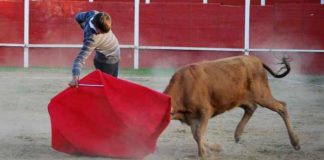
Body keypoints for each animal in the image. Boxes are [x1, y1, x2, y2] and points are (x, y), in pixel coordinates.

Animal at [165, 55, 302, 158]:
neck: (184, 86)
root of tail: (256, 60)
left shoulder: (205, 111)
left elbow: (198, 134)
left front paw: (205, 153)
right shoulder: (192, 117)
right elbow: (196, 135)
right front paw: (211, 148)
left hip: (262, 95)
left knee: (281, 107)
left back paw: (295, 143)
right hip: (242, 99)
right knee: (251, 108)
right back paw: (237, 134)